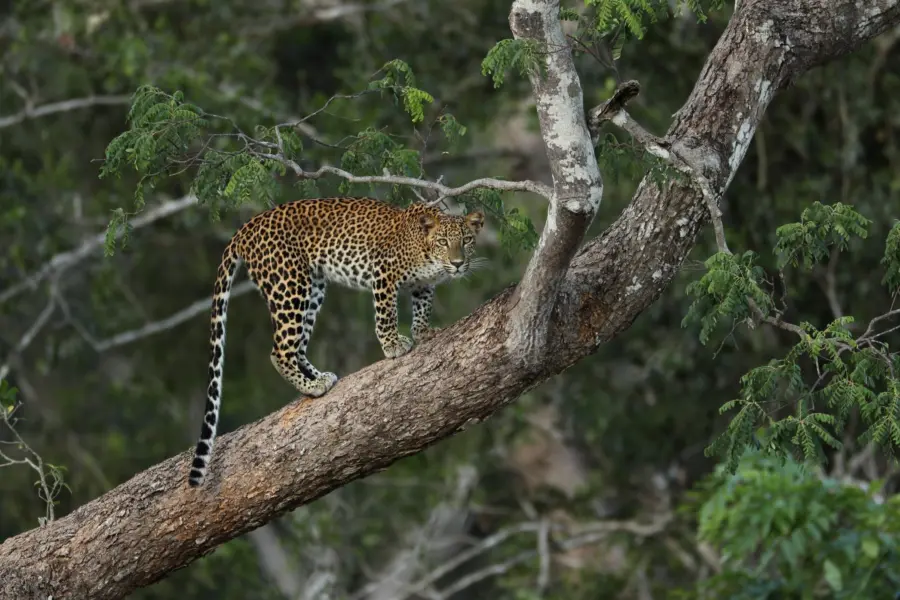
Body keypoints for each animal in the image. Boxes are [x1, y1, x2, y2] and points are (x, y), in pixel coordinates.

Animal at [187, 196, 485, 487]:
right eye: (443, 241)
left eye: (467, 240)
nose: (458, 263)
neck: (425, 251)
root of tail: (248, 226)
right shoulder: (384, 272)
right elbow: (386, 313)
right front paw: (392, 345)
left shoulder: (422, 285)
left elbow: (423, 306)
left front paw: (423, 332)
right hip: (289, 286)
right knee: (279, 350)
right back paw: (312, 386)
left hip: (314, 287)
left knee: (298, 346)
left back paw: (319, 377)